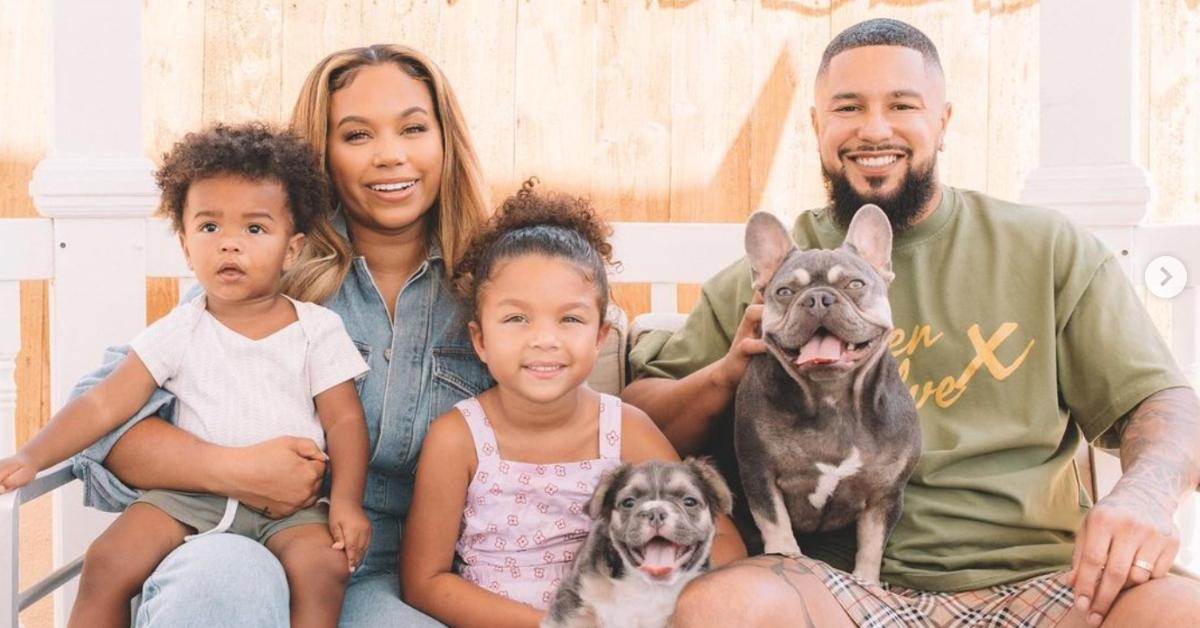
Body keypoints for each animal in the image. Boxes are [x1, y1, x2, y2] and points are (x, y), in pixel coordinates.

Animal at [729, 206, 916, 585]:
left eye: (855, 284)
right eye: (784, 291)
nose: (817, 298)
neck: (833, 399)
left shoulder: (885, 495)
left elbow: (872, 544)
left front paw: (867, 580)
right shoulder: (759, 473)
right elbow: (776, 524)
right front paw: (786, 554)